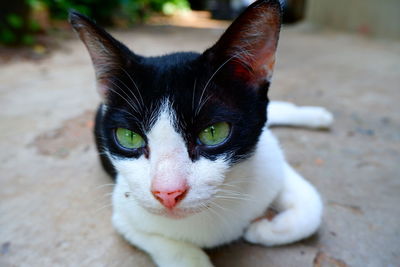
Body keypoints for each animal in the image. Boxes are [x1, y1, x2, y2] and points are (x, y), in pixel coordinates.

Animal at [69, 1, 332, 266]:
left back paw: (318, 117)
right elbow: (166, 245)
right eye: (129, 137)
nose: (167, 193)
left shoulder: (270, 159)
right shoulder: (125, 215)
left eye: (213, 133)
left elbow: (312, 208)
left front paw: (263, 230)